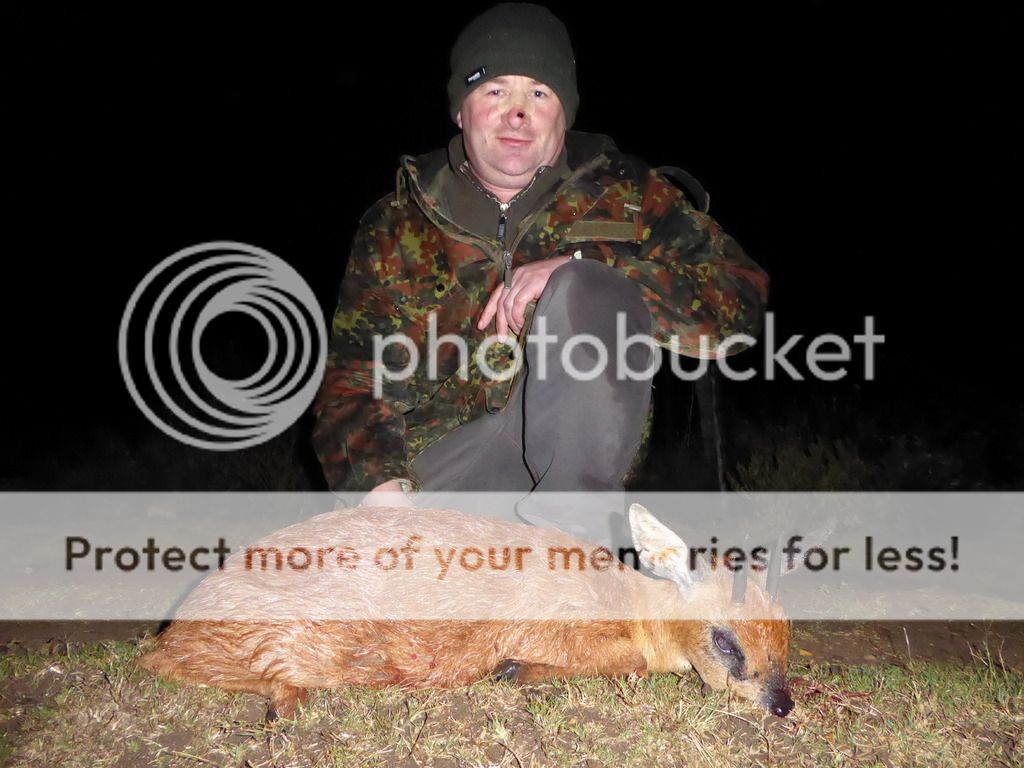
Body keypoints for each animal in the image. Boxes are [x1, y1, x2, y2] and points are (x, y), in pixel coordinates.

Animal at [139, 503, 794, 719]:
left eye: (787, 639)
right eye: (727, 640)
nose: (783, 704)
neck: (629, 603)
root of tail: (181, 616)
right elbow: (626, 661)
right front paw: (515, 670)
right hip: (287, 638)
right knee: (159, 661)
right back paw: (285, 701)